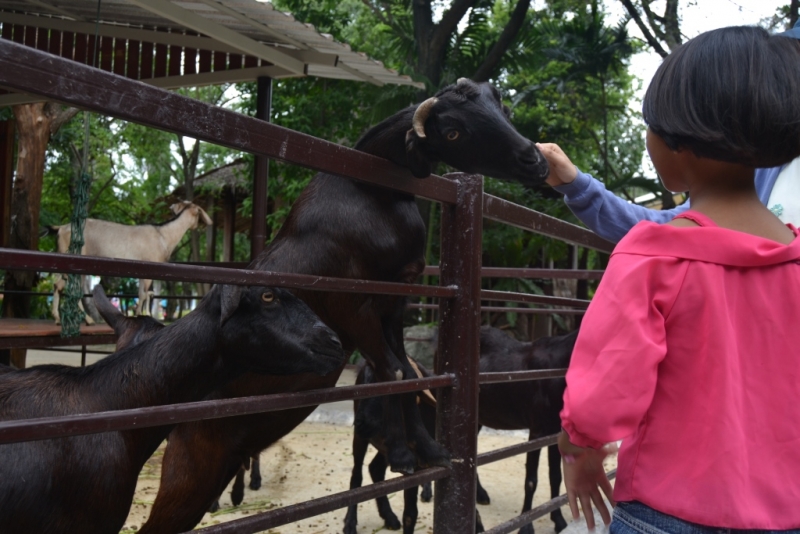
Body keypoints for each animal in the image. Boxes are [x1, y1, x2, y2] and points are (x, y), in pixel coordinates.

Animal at [49, 201, 212, 324]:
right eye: (199, 214)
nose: (202, 226)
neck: (163, 235)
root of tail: (61, 228)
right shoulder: (149, 269)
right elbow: (144, 294)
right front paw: (140, 315)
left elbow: (142, 293)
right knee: (62, 286)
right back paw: (69, 319)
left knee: (63, 286)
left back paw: (76, 319)